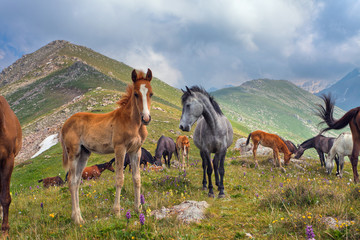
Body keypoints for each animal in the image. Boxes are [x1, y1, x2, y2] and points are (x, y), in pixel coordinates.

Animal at [60, 68, 153, 224]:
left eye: (151, 93)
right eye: (136, 94)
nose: (146, 118)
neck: (132, 122)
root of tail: (64, 125)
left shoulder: (136, 150)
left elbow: (137, 179)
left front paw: (138, 209)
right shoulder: (120, 148)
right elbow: (119, 179)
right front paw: (116, 212)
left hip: (84, 154)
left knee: (77, 181)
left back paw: (80, 217)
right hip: (74, 153)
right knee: (72, 181)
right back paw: (77, 219)